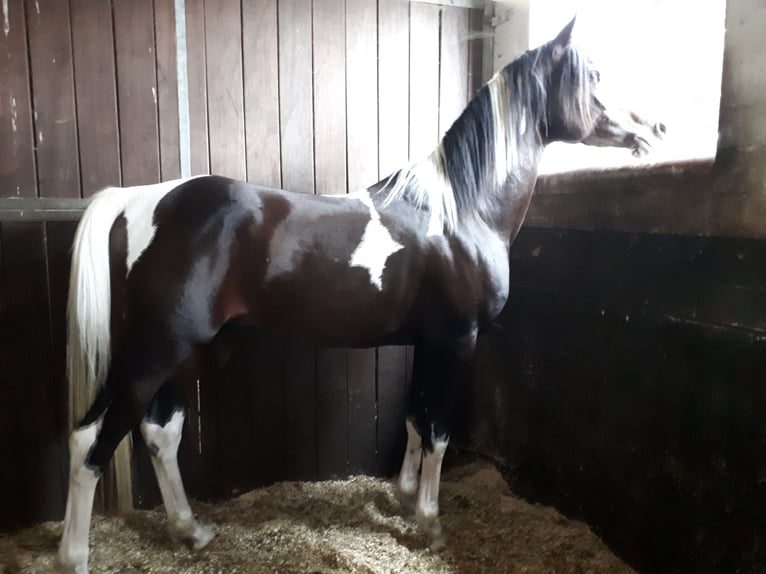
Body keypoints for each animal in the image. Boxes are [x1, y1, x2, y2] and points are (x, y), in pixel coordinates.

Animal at [55, 18, 664, 573]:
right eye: (594, 76)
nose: (657, 127)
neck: (461, 211)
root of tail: (140, 199)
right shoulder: (457, 340)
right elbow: (439, 430)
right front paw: (429, 523)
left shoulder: (427, 342)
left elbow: (416, 419)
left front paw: (403, 498)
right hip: (152, 352)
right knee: (91, 442)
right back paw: (75, 554)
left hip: (182, 352)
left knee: (159, 433)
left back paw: (191, 531)